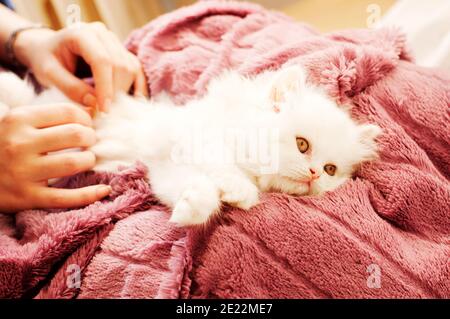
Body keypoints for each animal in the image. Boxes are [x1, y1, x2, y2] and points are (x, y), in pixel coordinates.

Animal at [0, 65, 382, 226]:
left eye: (331, 170)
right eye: (302, 144)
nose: (315, 173)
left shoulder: (165, 171)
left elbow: (193, 189)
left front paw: (191, 209)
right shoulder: (190, 138)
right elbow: (218, 164)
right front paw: (238, 190)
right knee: (16, 96)